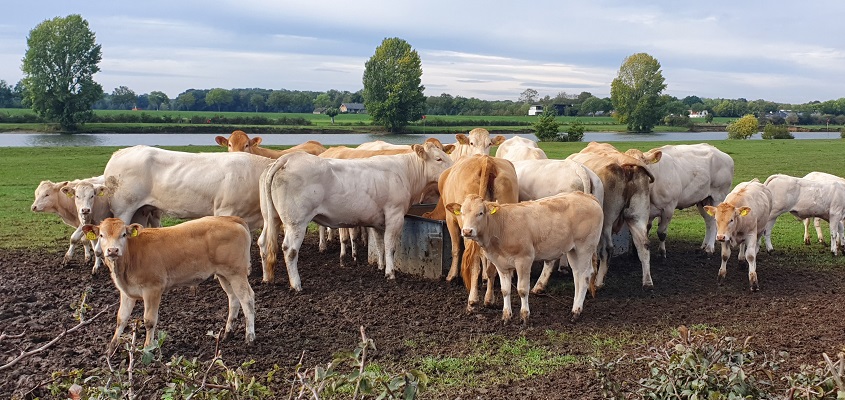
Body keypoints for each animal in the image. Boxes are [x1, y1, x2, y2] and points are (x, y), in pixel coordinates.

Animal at [82, 216, 256, 352]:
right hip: (223, 274)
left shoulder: (153, 289)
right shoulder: (126, 292)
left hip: (236, 273)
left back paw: (250, 337)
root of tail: (230, 219)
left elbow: (149, 320)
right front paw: (111, 348)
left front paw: (147, 347)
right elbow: (121, 318)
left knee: (247, 298)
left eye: (123, 234)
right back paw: (228, 332)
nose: (113, 250)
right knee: (233, 298)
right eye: (101, 235)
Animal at [258, 142, 453, 291]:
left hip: (271, 218)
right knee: (289, 250)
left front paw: (381, 266)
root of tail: (289, 158)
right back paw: (296, 284)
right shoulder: (395, 214)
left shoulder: (378, 221)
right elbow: (390, 246)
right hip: (296, 222)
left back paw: (267, 278)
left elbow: (380, 244)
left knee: (263, 243)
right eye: (439, 158)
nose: (452, 170)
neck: (405, 172)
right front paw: (390, 273)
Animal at [422, 155, 519, 313]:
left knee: (473, 261)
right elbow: (484, 256)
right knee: (492, 264)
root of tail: (486, 161)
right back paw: (489, 298)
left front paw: (451, 276)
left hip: (468, 230)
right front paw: (484, 279)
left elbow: (456, 249)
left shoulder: (451, 220)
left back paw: (473, 299)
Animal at [446, 192, 604, 324]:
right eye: (462, 213)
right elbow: (505, 290)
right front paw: (506, 316)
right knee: (577, 275)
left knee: (585, 276)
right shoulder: (501, 264)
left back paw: (576, 312)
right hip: (572, 250)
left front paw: (524, 315)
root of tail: (587, 196)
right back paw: (575, 307)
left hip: (585, 247)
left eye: (480, 213)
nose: (467, 231)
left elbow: (522, 289)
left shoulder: (524, 259)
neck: (501, 227)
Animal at [567, 142, 655, 289]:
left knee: (608, 248)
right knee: (644, 244)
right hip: (638, 215)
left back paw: (599, 281)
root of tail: (627, 165)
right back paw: (647, 281)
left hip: (607, 218)